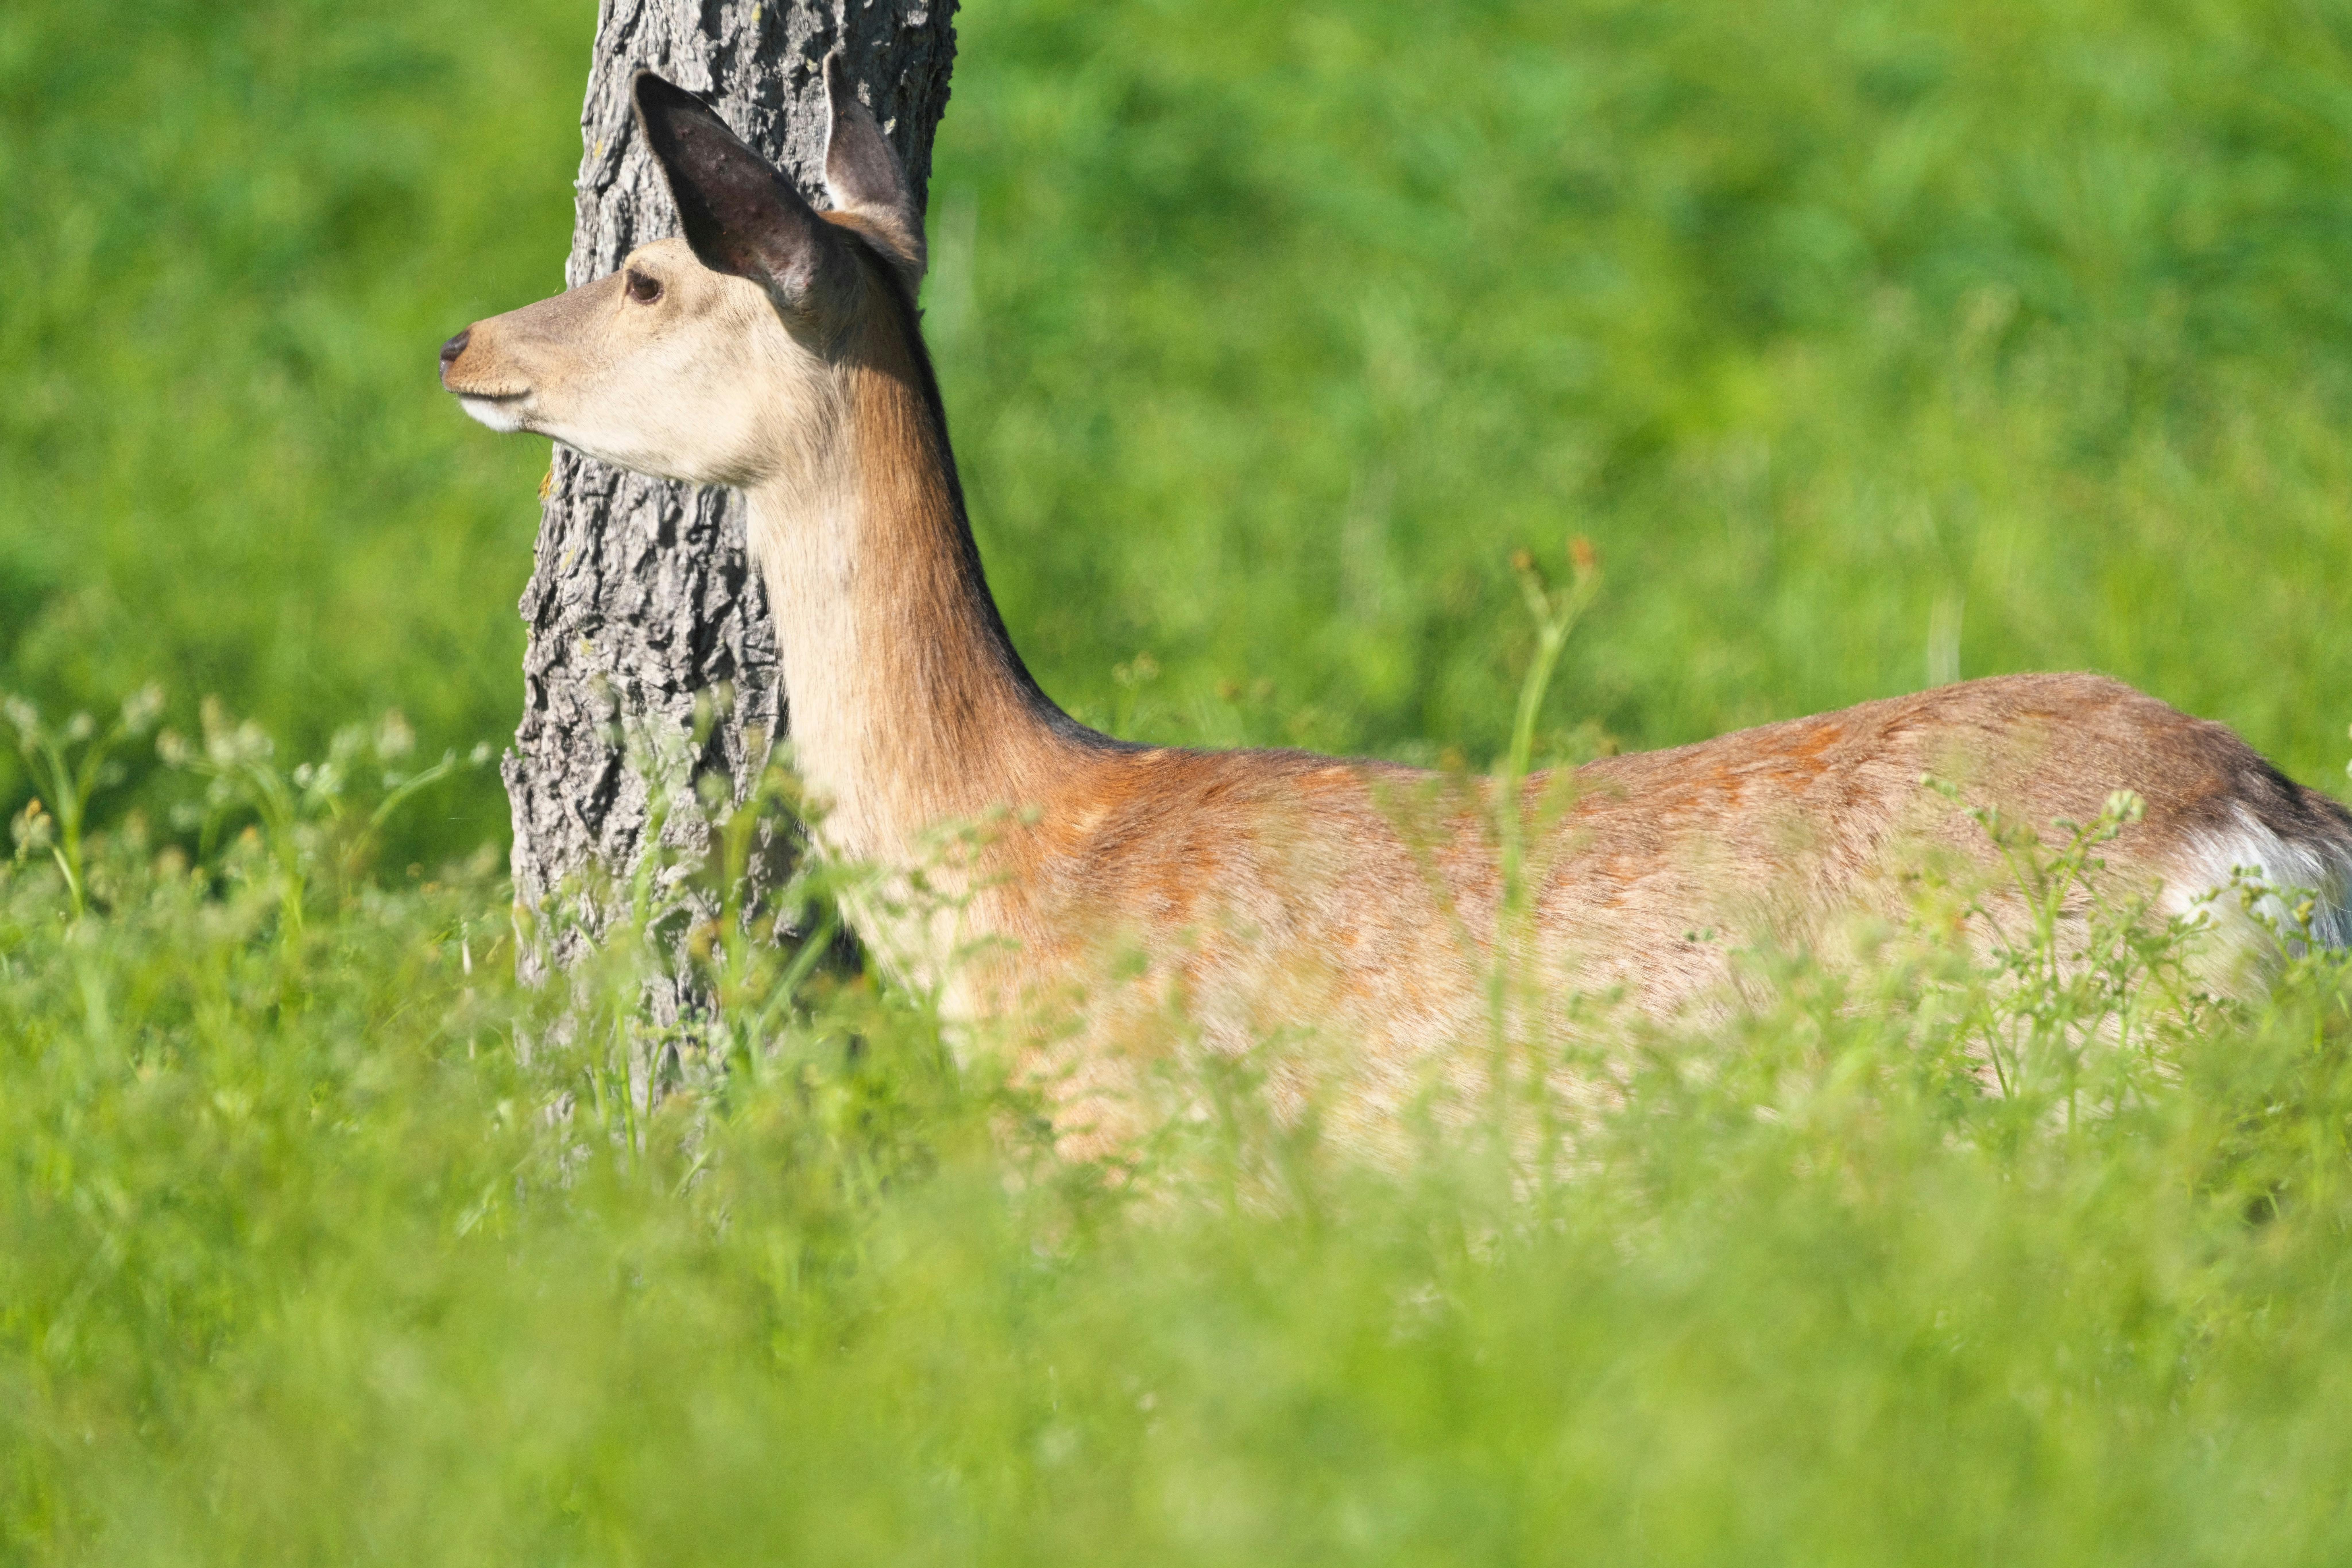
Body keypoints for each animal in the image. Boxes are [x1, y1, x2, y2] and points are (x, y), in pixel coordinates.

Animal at [441, 62, 2352, 1151]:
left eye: (648, 271)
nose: (464, 342)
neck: (1019, 847)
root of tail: (2277, 824)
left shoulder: (1165, 1157)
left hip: (2087, 1072)